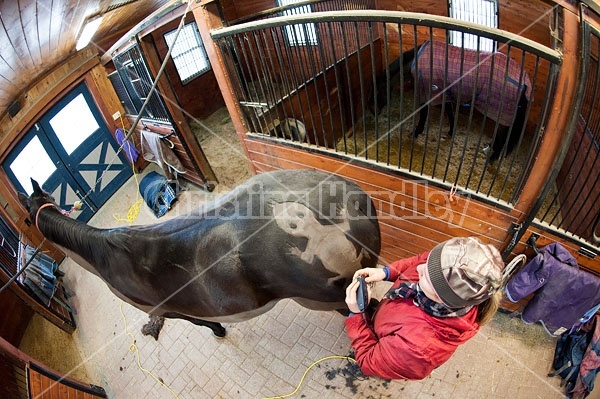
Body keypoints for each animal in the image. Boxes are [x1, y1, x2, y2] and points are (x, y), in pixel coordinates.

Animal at [21, 170, 382, 340]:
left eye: (26, 212)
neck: (104, 256)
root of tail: (355, 197)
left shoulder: (166, 309)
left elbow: (200, 322)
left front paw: (218, 330)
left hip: (324, 294)